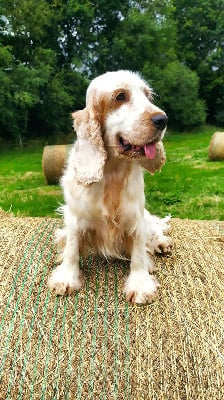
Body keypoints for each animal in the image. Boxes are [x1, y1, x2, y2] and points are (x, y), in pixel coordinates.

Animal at [48, 69, 172, 304]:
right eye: (120, 96)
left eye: (148, 96)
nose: (162, 119)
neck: (113, 171)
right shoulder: (74, 216)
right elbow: (71, 247)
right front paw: (66, 278)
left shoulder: (135, 218)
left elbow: (139, 253)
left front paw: (140, 285)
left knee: (154, 230)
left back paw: (162, 244)